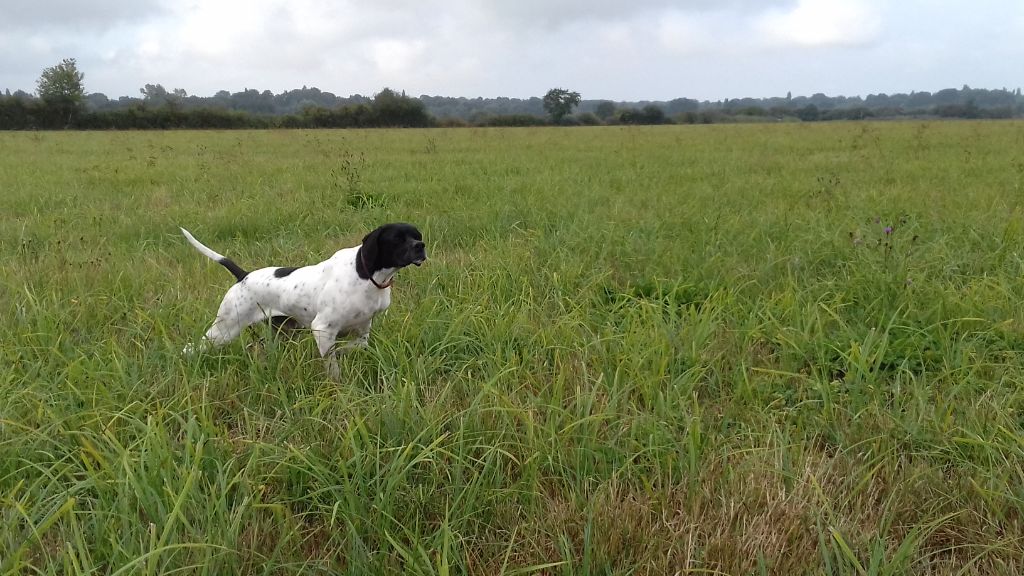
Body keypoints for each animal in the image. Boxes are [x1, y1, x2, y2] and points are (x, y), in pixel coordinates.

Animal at [180, 220, 423, 377]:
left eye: (417, 236)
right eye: (397, 239)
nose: (421, 246)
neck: (365, 274)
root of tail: (244, 276)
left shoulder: (363, 329)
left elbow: (354, 346)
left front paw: (342, 352)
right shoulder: (322, 328)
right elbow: (332, 366)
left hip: (281, 332)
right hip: (225, 329)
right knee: (190, 348)